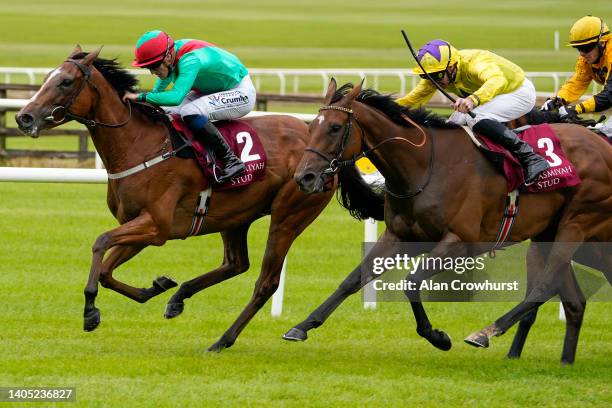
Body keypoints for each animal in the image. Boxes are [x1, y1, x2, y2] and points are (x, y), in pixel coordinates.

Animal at [14, 47, 368, 354]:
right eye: (46, 76)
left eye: (65, 81)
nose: (24, 118)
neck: (138, 144)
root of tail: (327, 152)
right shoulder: (141, 227)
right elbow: (106, 271)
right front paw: (156, 287)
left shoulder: (155, 226)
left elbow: (100, 243)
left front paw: (90, 311)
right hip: (237, 215)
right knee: (236, 263)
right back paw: (180, 296)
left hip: (289, 214)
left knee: (265, 281)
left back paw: (223, 340)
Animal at [286, 79, 612, 364]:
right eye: (311, 126)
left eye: (335, 127)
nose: (305, 177)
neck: (425, 167)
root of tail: (602, 145)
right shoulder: (400, 236)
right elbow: (353, 279)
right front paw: (302, 326)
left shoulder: (459, 242)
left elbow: (411, 282)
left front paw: (437, 337)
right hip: (552, 232)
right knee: (571, 299)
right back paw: (565, 361)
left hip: (577, 223)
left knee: (545, 286)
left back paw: (485, 333)